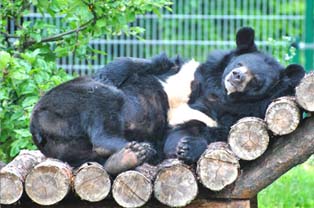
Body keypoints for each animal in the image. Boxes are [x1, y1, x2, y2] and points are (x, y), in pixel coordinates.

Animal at [163, 26, 306, 162]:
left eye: (256, 81)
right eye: (239, 63)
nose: (237, 75)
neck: (221, 95)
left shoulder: (236, 115)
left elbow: (191, 130)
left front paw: (187, 147)